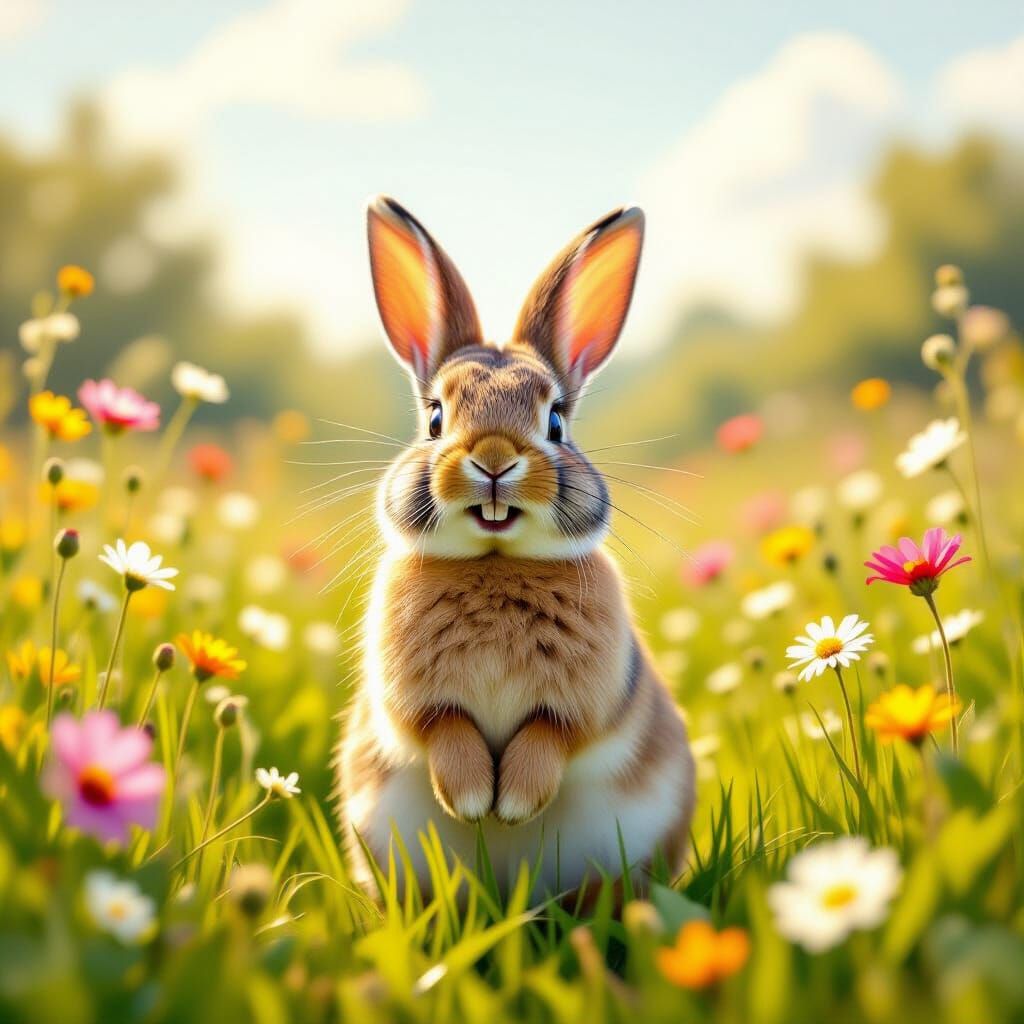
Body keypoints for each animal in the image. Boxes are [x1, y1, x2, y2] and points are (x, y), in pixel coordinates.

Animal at [336, 196, 695, 898]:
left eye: (555, 420)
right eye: (435, 418)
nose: (495, 459)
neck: (495, 564)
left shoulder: (588, 704)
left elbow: (550, 735)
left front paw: (515, 804)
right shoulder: (413, 704)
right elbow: (445, 729)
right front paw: (475, 800)